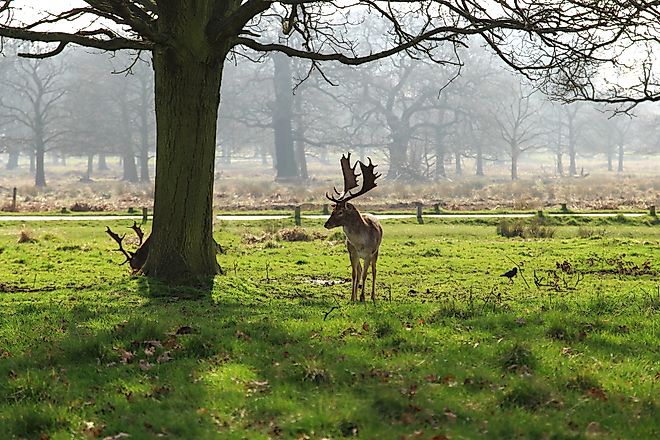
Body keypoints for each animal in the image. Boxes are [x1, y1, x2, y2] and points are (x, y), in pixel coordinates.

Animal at [324, 153, 383, 303]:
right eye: (333, 210)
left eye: (340, 212)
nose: (326, 224)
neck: (360, 243)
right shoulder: (352, 252)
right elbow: (355, 274)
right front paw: (352, 298)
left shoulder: (368, 253)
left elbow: (365, 274)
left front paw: (362, 297)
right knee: (360, 270)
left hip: (376, 251)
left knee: (374, 271)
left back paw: (372, 296)